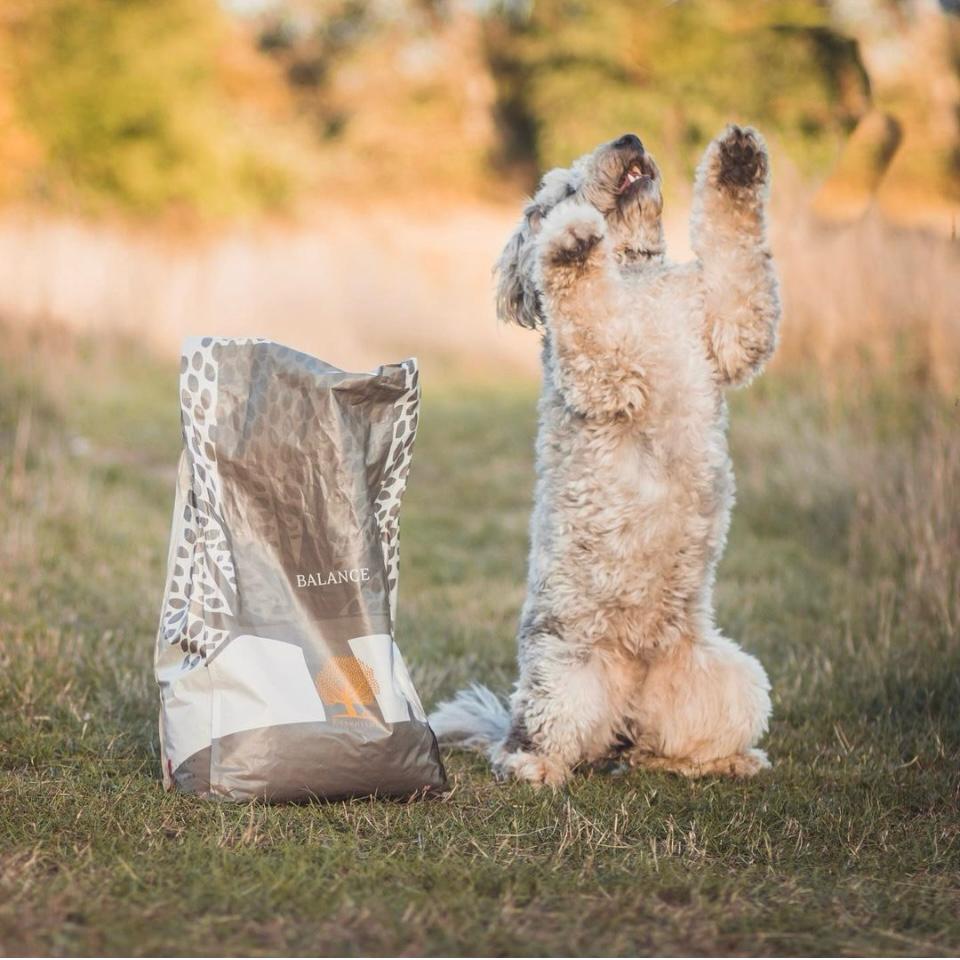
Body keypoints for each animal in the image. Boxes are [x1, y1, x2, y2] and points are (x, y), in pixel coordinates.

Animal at [432, 125, 784, 788]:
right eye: (564, 188)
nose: (629, 137)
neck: (636, 276)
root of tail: (627, 708)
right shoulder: (606, 368)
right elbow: (588, 308)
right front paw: (571, 240)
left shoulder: (726, 323)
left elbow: (738, 259)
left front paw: (737, 161)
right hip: (563, 675)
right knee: (537, 739)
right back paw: (534, 765)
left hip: (729, 679)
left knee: (666, 746)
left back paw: (723, 759)